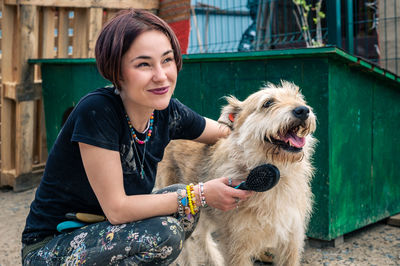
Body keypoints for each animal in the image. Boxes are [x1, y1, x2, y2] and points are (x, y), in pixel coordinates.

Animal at [155, 81, 316, 266]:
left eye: (298, 98)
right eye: (267, 103)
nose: (303, 110)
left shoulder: (291, 238)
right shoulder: (237, 244)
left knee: (201, 236)